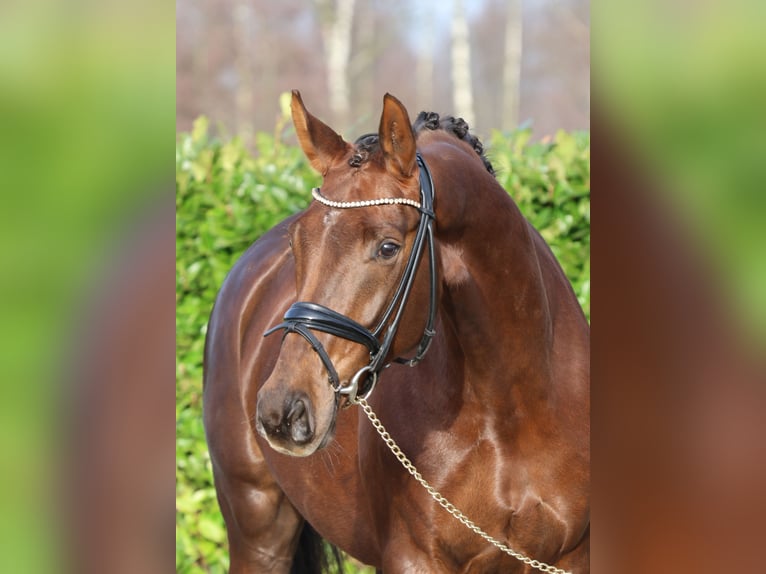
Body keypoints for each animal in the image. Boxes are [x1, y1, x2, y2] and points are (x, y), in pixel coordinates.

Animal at [201, 92, 592, 572]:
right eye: (297, 243)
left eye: (388, 247)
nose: (281, 411)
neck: (515, 410)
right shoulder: (412, 557)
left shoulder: (570, 557)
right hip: (258, 528)